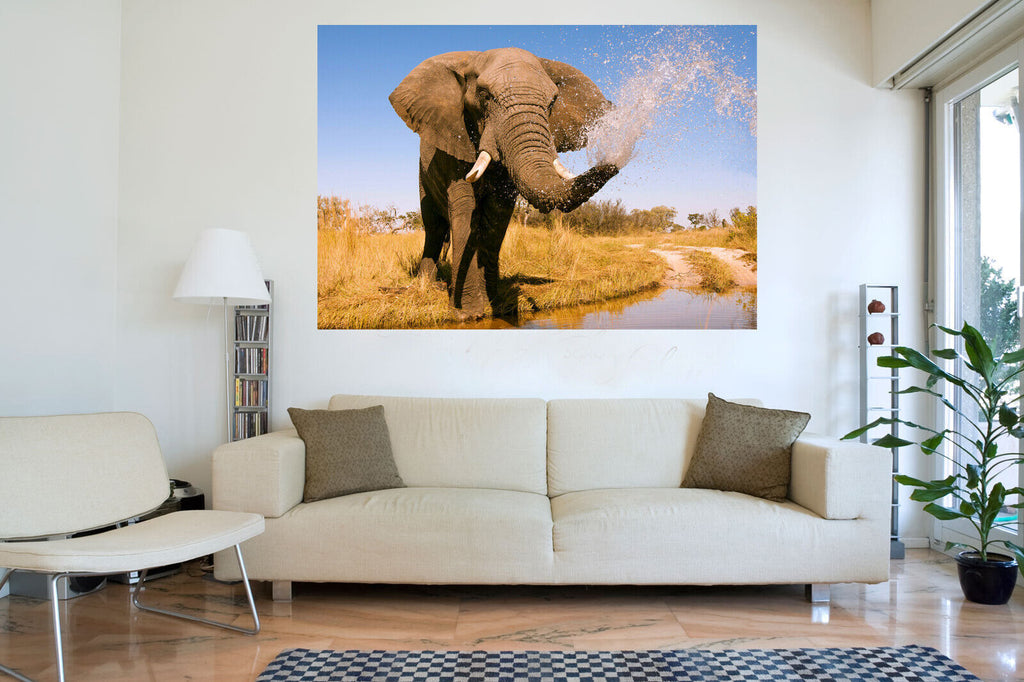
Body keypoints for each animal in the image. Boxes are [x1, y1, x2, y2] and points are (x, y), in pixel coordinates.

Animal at [390, 47, 620, 319]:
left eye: (553, 102)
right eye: (484, 95)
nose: (614, 163)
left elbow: (497, 215)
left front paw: (496, 306)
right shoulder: (454, 141)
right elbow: (465, 209)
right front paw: (467, 313)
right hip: (423, 176)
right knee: (433, 227)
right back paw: (427, 284)